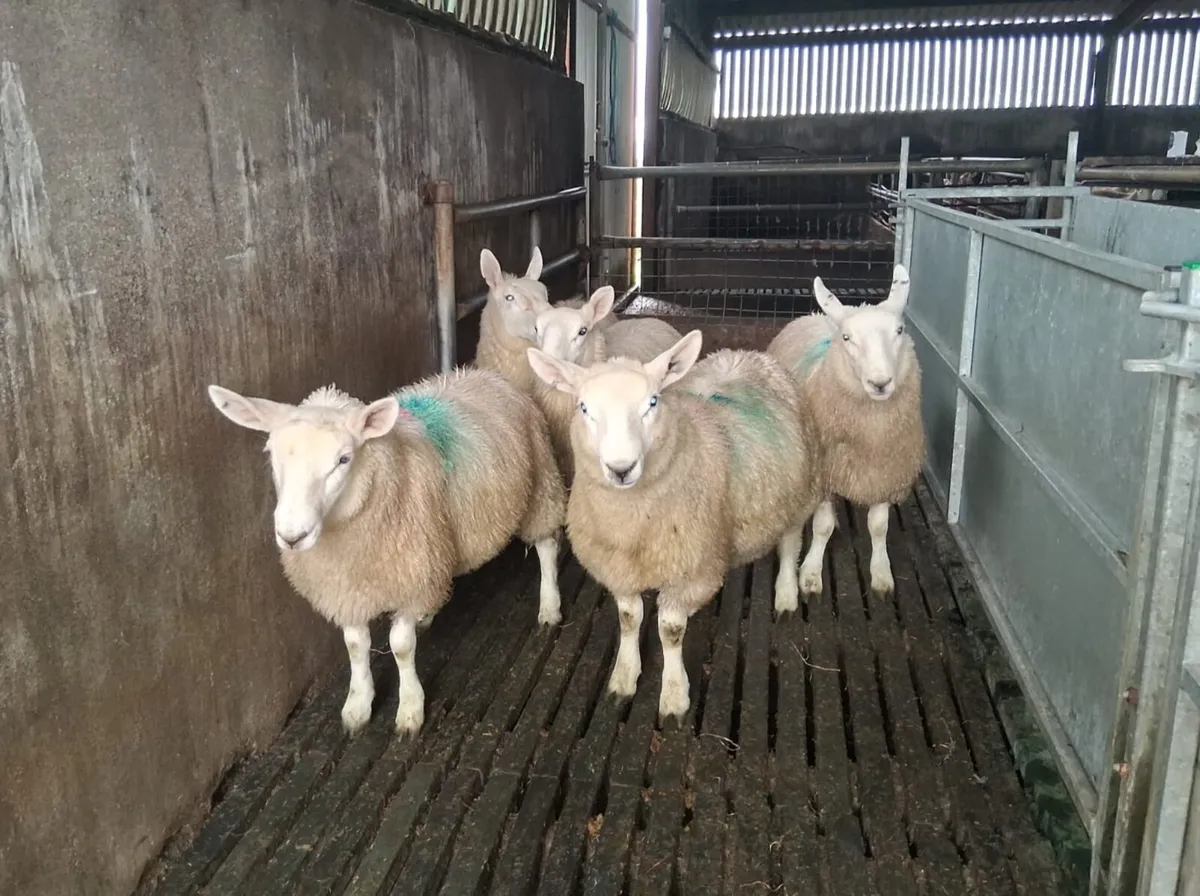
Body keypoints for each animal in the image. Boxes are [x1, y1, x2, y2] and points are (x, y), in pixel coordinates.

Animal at [206, 367, 566, 737]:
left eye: (343, 459)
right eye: (271, 455)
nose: (292, 536)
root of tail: (486, 374)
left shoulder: (409, 575)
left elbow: (401, 647)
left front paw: (409, 708)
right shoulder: (347, 588)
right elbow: (355, 646)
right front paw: (358, 704)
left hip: (540, 485)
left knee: (546, 546)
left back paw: (549, 605)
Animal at [526, 332, 820, 722]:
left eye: (652, 402)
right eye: (583, 408)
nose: (621, 468)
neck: (634, 522)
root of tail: (747, 353)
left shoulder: (693, 572)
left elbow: (670, 630)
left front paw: (674, 696)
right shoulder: (619, 567)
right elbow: (629, 618)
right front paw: (624, 677)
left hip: (799, 491)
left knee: (789, 544)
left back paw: (786, 594)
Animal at [766, 264, 925, 597]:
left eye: (900, 331)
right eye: (847, 337)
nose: (880, 382)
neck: (872, 440)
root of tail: (815, 314)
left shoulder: (886, 475)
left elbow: (879, 526)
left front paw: (881, 572)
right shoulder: (825, 474)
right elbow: (822, 526)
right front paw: (811, 573)